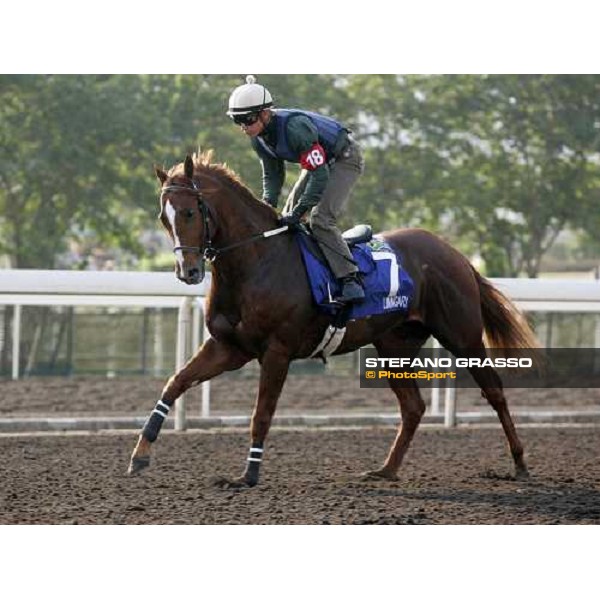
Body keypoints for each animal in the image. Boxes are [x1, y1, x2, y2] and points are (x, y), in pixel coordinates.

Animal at [127, 152, 540, 486]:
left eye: (190, 212)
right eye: (163, 218)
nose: (188, 271)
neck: (256, 262)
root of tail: (454, 252)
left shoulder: (276, 352)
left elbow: (261, 414)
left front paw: (248, 475)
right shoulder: (229, 347)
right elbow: (175, 383)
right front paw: (140, 455)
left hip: (462, 336)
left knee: (494, 392)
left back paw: (520, 464)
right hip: (394, 345)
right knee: (413, 407)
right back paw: (386, 470)